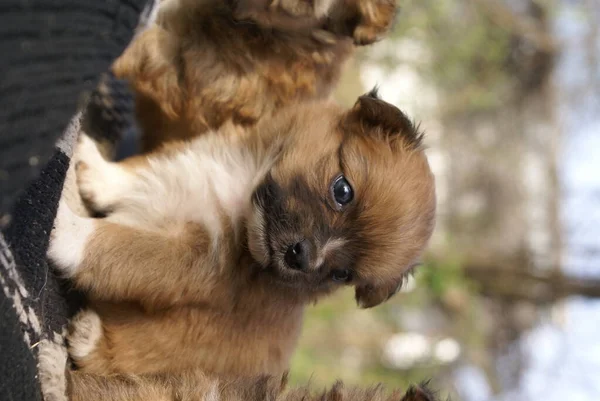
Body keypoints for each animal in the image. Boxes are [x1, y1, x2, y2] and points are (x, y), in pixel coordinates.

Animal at [47, 90, 436, 378]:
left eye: (341, 273)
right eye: (342, 191)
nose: (302, 257)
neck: (243, 190)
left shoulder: (189, 261)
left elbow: (112, 244)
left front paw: (62, 225)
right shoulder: (188, 164)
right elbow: (139, 175)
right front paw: (96, 167)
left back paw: (89, 336)